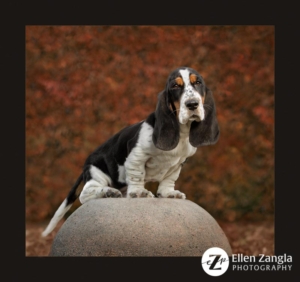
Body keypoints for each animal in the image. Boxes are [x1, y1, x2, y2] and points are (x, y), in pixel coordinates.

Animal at [42, 66, 219, 236]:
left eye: (198, 83)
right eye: (175, 86)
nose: (192, 104)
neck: (182, 132)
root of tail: (85, 166)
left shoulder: (179, 164)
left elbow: (169, 180)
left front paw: (169, 193)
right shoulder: (137, 156)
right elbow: (137, 175)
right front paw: (139, 192)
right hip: (97, 172)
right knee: (85, 194)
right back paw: (108, 192)